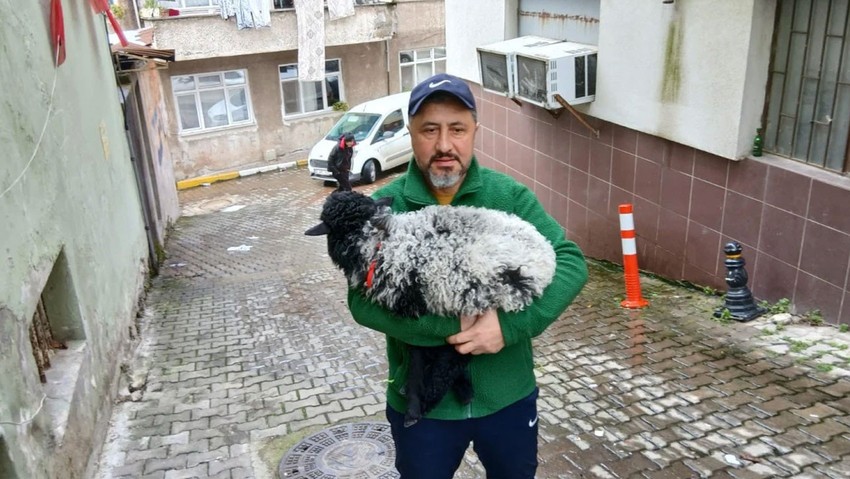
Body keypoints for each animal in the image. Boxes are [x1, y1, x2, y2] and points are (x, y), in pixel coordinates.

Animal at [304, 189, 556, 426]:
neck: (377, 242)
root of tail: (545, 258)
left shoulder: (417, 310)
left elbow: (419, 357)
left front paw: (415, 404)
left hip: (476, 297)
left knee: (454, 358)